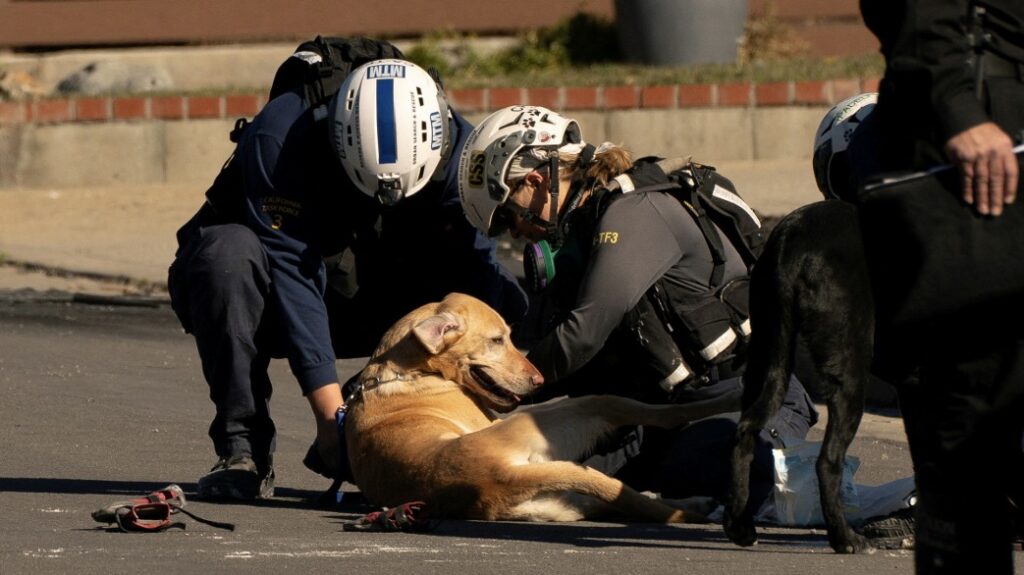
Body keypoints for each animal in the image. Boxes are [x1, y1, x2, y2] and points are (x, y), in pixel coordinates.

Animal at [348, 292, 741, 521]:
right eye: (497, 340)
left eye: (510, 336)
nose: (539, 381)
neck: (408, 371)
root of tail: (495, 476)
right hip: (568, 413)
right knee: (651, 414)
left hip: (561, 499)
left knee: (626, 501)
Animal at [720, 200, 880, 552]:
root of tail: (791, 243)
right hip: (850, 374)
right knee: (828, 460)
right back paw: (844, 537)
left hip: (767, 356)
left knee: (744, 431)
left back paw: (739, 525)